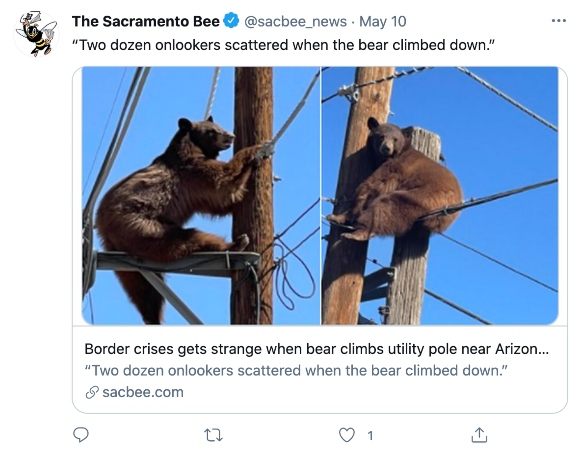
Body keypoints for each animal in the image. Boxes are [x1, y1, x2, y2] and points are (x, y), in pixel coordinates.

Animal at [95, 116, 270, 324]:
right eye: (212, 131)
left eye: (218, 126)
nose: (231, 136)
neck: (192, 147)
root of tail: (102, 225)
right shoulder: (192, 172)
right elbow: (222, 185)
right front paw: (258, 149)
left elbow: (220, 202)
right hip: (142, 225)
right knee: (185, 239)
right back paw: (236, 244)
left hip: (128, 252)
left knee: (141, 287)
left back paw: (152, 317)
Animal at [326, 118, 462, 242]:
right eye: (381, 136)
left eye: (395, 139)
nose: (386, 148)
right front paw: (336, 217)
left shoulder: (396, 166)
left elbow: (374, 184)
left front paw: (340, 216)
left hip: (427, 196)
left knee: (388, 207)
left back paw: (359, 233)